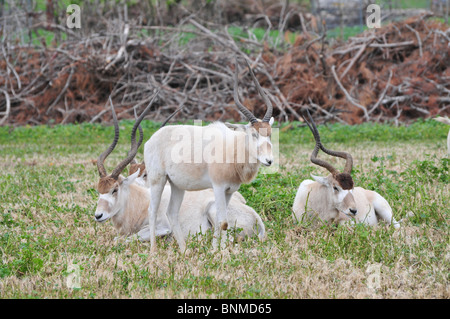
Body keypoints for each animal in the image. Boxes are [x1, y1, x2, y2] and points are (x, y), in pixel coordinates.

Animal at [144, 57, 276, 252]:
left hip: (177, 185)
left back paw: (184, 251)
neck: (233, 149)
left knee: (172, 212)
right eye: (254, 134)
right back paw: (153, 251)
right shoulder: (218, 187)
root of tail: (152, 139)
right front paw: (217, 253)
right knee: (152, 211)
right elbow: (222, 222)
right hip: (157, 180)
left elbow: (223, 222)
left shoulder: (230, 191)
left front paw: (217, 250)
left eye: (270, 133)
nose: (269, 160)